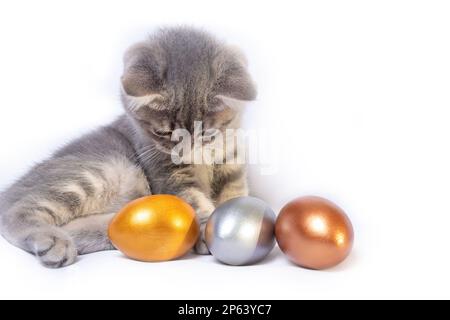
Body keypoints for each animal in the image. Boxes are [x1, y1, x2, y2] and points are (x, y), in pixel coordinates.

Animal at [0, 26, 255, 268]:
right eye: (163, 133)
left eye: (206, 132)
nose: (182, 152)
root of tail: (8, 191)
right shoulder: (167, 174)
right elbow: (193, 199)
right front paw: (206, 228)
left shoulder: (231, 165)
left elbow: (234, 193)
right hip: (100, 171)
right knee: (15, 213)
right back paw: (53, 242)